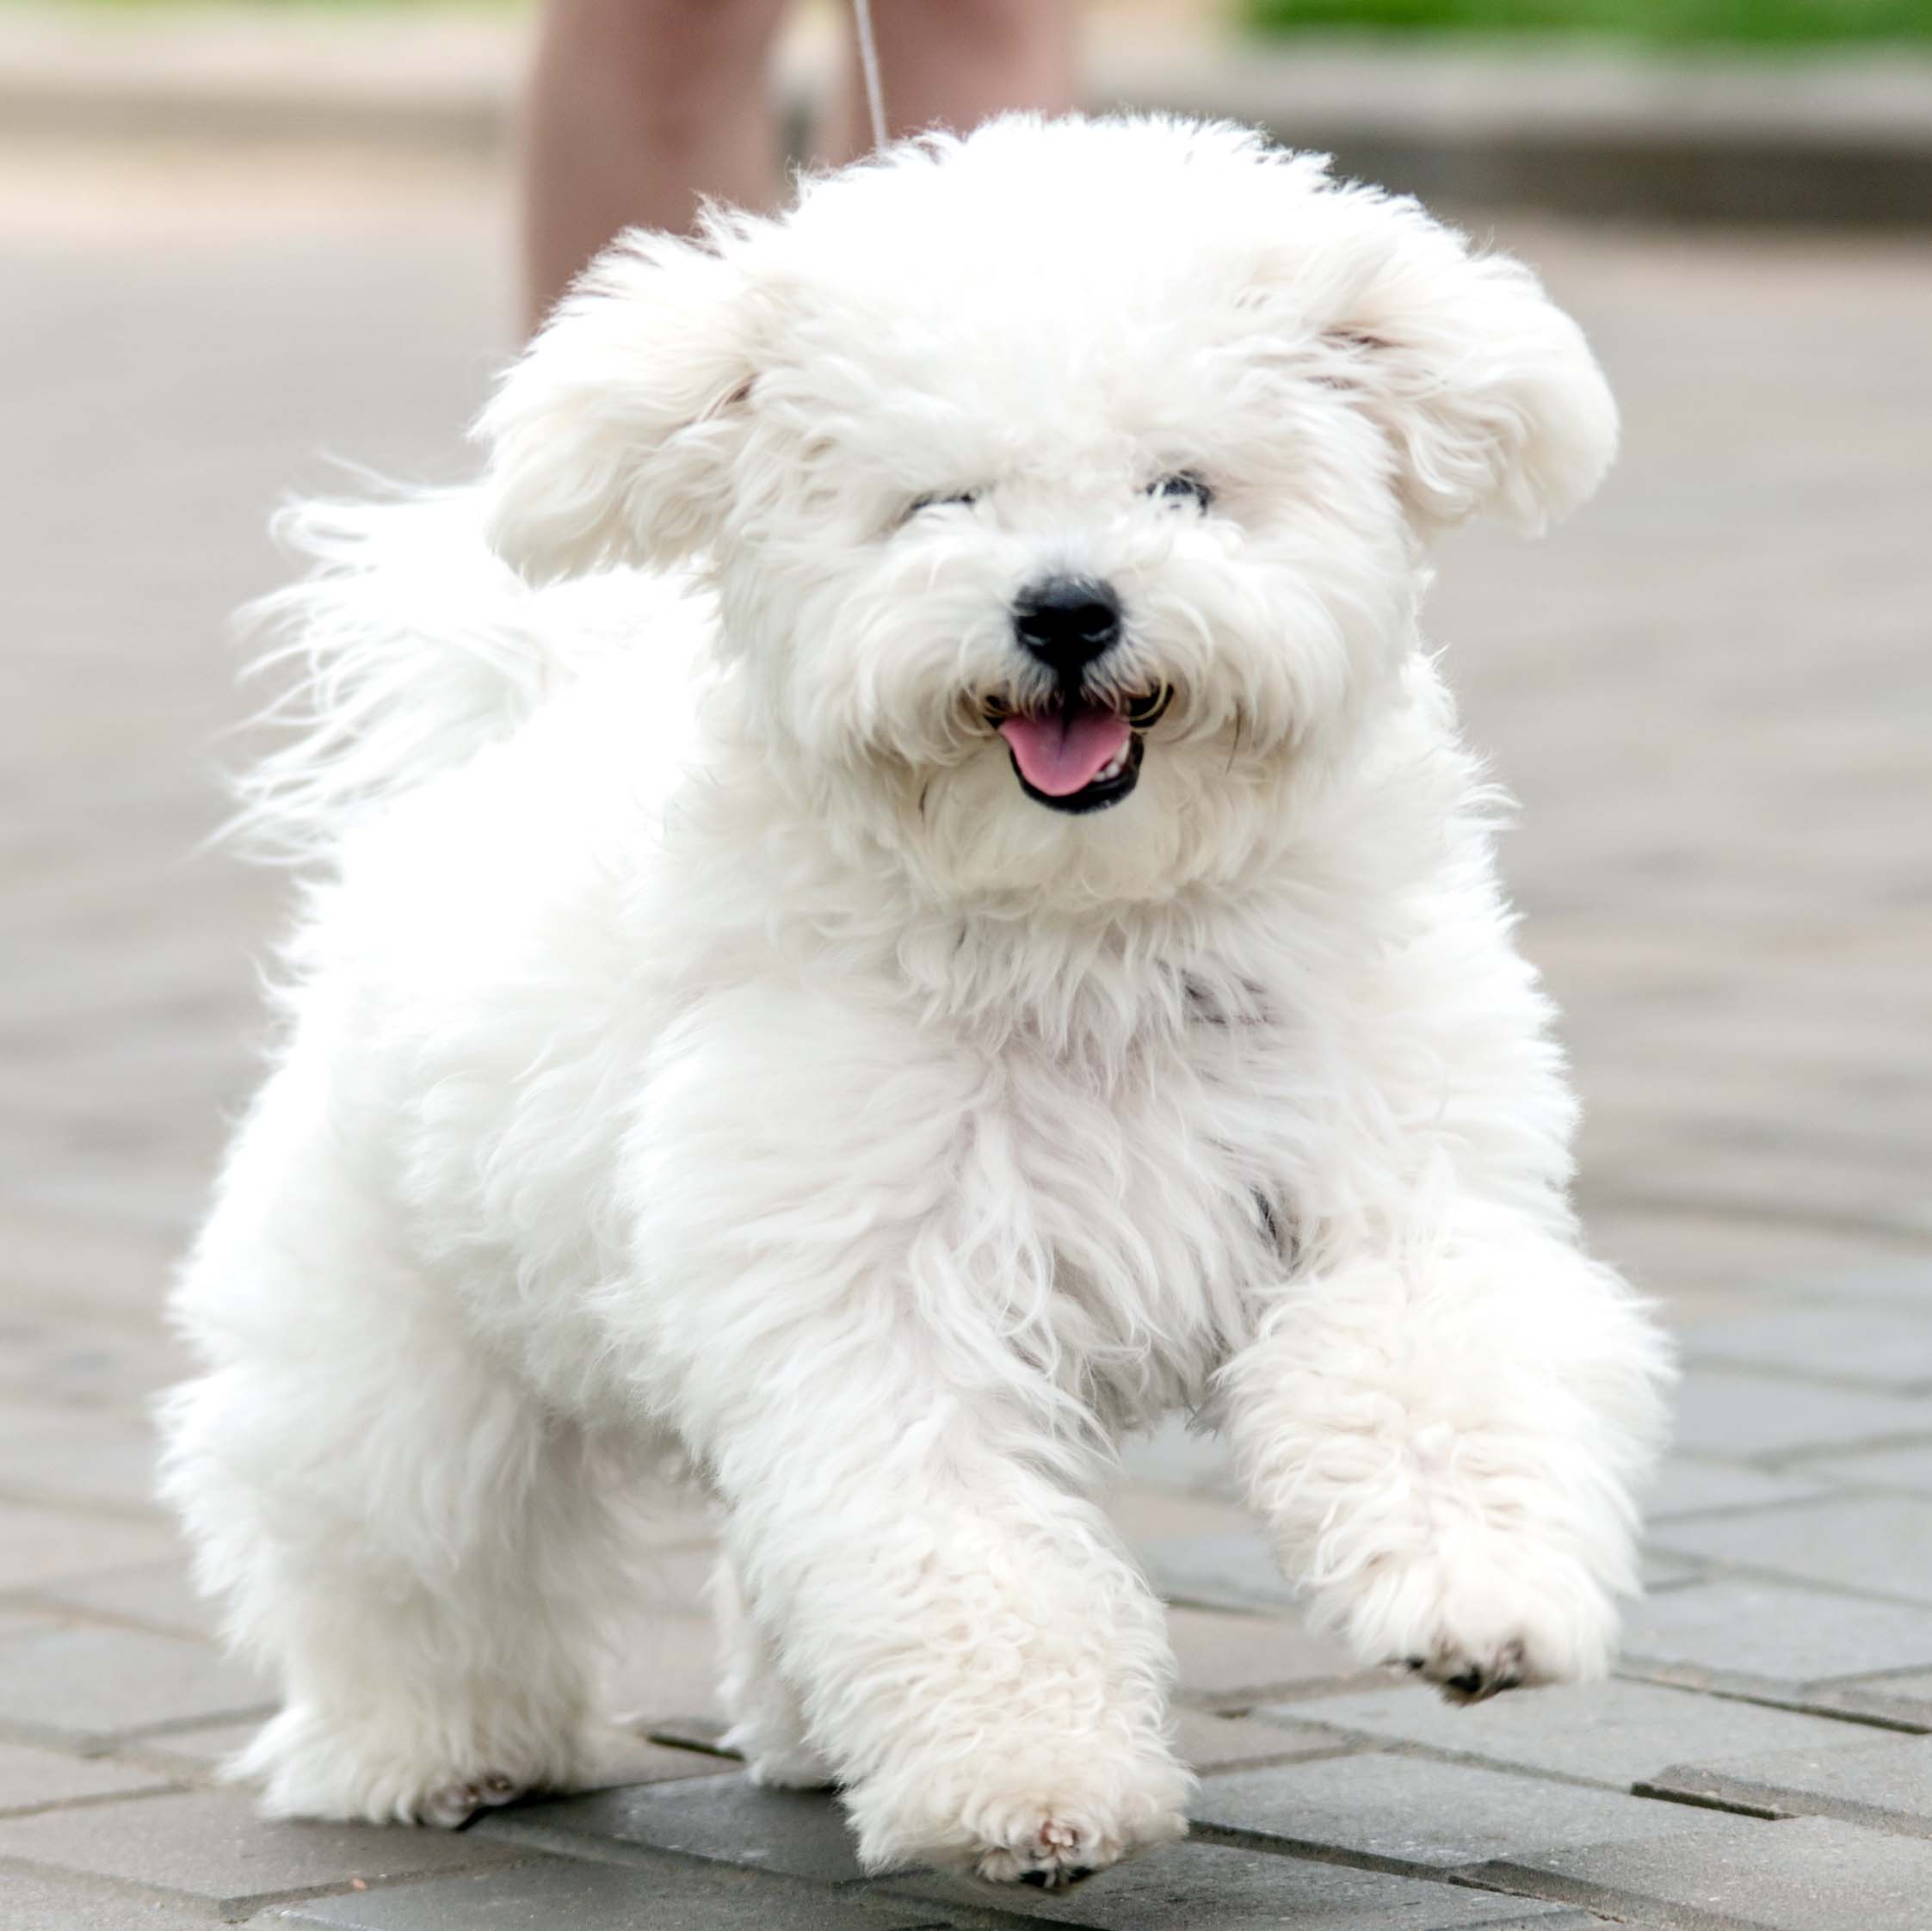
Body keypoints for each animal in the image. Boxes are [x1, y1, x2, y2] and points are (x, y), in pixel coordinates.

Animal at [162, 116, 1676, 1885]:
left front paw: (1478, 1591)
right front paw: (1030, 1783)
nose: (1068, 606)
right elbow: (961, 1540)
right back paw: (425, 1751)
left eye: (1183, 485)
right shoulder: (872, 1294)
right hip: (396, 1337)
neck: (1089, 932)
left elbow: (1435, 1369)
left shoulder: (1394, 1186)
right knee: (403, 1541)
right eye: (938, 501)